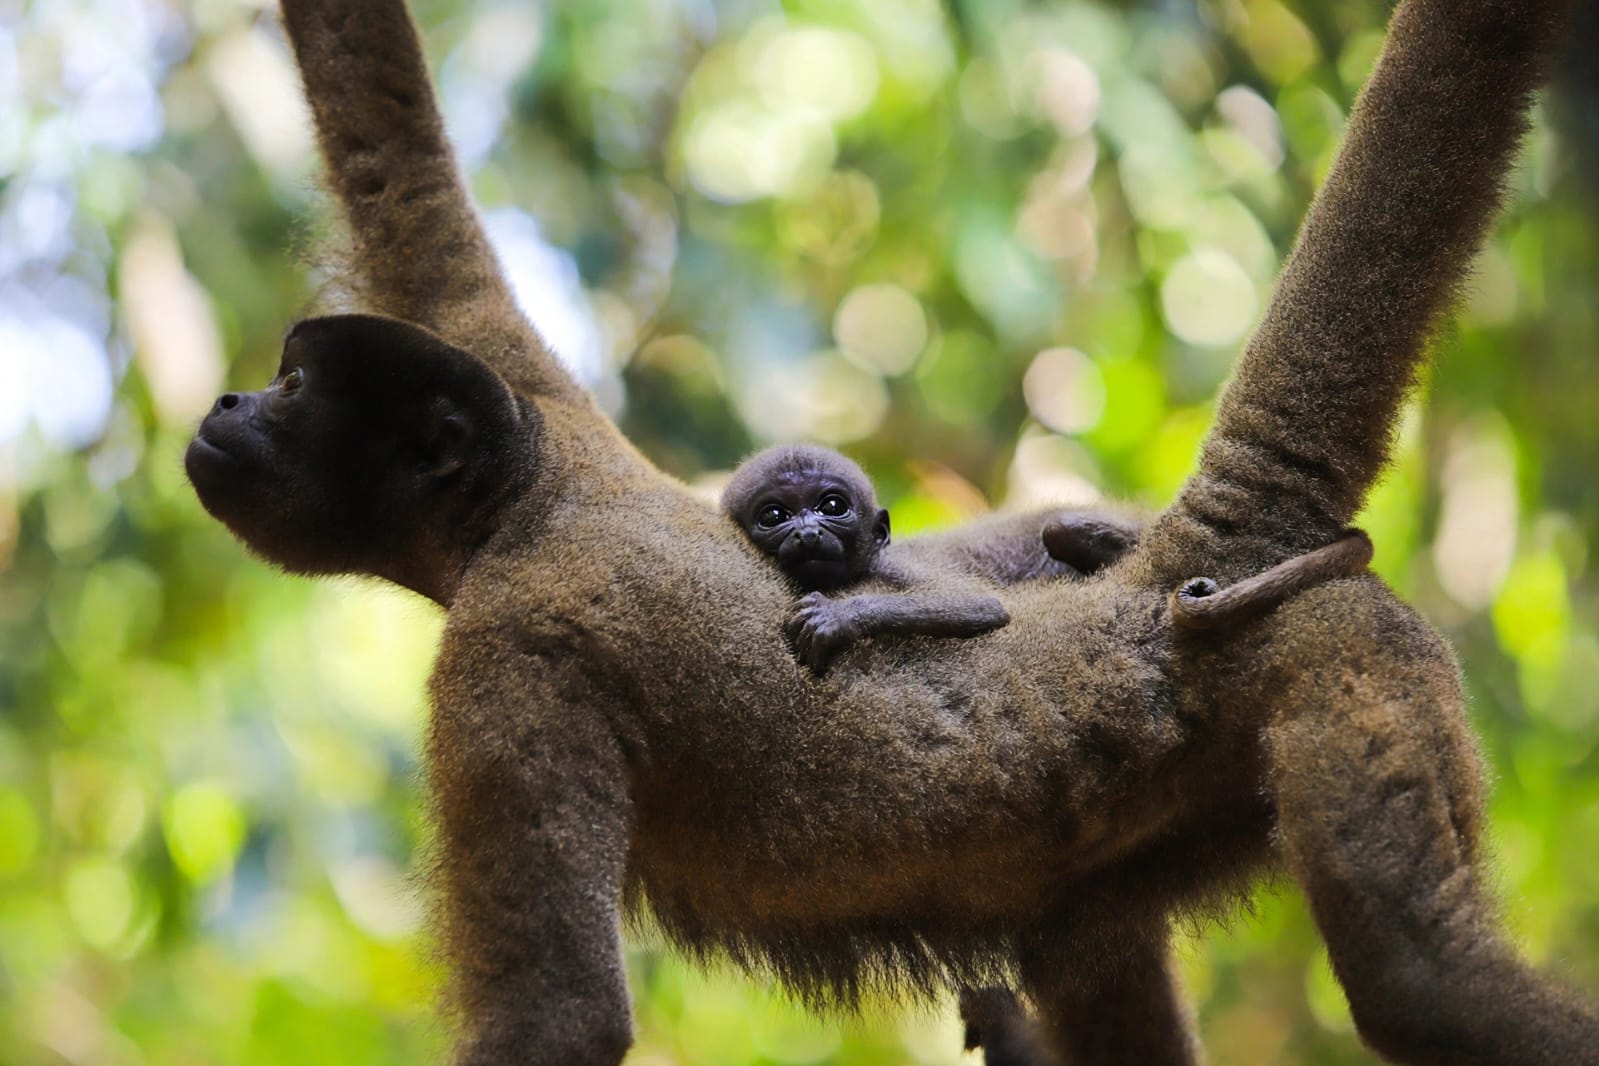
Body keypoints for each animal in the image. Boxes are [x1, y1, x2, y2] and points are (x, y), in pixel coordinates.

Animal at [189, 2, 1599, 1065]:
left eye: (298, 387)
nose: (225, 405)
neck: (525, 506)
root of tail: (1168, 587)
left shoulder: (510, 648)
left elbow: (562, 1021)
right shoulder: (523, 384)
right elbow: (394, 155)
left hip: (1337, 637)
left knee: (1422, 978)